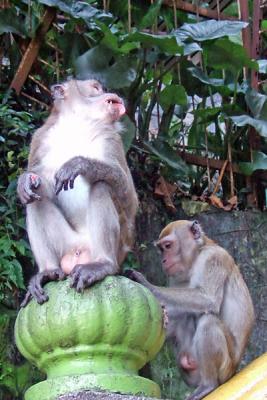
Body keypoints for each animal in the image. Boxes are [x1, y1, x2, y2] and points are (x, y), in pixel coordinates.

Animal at [17, 79, 138, 308]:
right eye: (97, 87)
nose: (110, 90)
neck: (77, 123)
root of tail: (80, 250)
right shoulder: (40, 138)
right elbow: (40, 184)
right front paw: (25, 181)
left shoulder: (112, 139)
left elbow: (129, 198)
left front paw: (80, 164)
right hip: (66, 243)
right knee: (34, 199)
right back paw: (48, 271)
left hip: (117, 248)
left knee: (101, 186)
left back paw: (103, 265)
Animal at [127, 220, 255, 400]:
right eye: (161, 249)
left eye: (168, 246)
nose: (163, 260)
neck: (197, 256)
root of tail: (234, 371)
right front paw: (164, 314)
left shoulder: (214, 258)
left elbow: (208, 298)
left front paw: (146, 284)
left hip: (225, 368)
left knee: (208, 321)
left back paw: (209, 385)